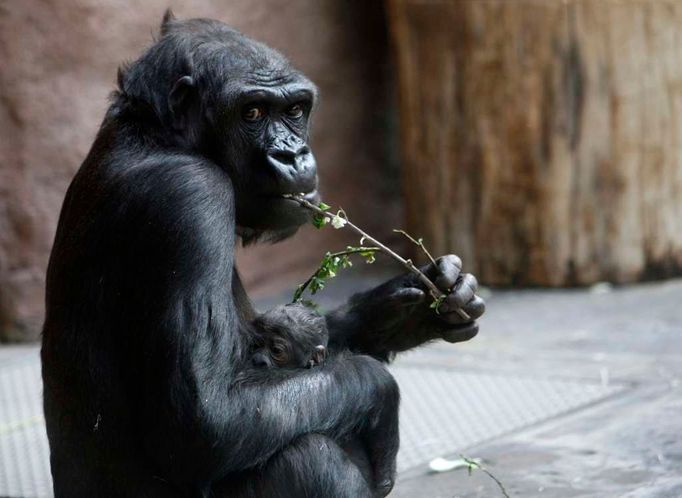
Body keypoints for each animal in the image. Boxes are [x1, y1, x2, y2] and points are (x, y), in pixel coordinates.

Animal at [41, 11, 484, 498]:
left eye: (294, 110)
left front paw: (412, 305)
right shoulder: (189, 198)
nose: (292, 154)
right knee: (305, 455)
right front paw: (379, 387)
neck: (160, 138)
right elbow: (206, 422)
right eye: (252, 112)